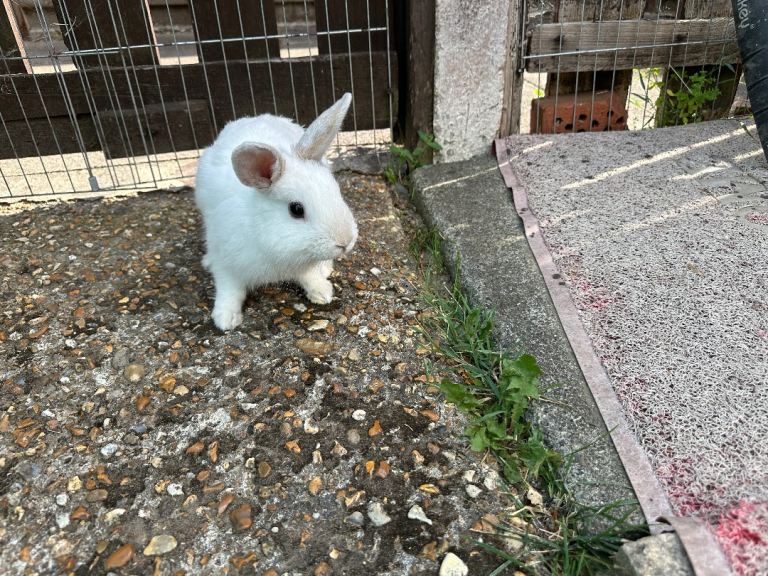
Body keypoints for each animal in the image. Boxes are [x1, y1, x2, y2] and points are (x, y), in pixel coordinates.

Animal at [194, 93, 358, 331]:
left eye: (336, 191)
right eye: (296, 209)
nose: (345, 242)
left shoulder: (303, 262)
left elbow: (309, 276)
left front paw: (322, 292)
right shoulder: (227, 264)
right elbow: (229, 290)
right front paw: (225, 319)